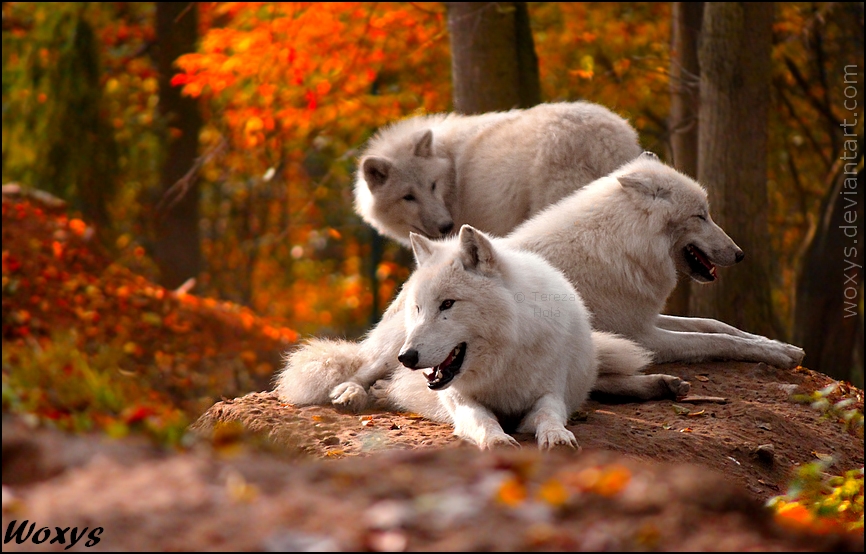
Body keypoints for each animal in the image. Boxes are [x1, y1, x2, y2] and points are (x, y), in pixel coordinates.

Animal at [278, 153, 804, 416]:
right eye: (702, 216)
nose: (740, 254)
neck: (621, 243)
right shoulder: (645, 332)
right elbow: (715, 340)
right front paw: (776, 352)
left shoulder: (648, 322)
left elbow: (720, 326)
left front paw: (779, 345)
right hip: (398, 349)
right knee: (370, 374)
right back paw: (351, 393)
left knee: (597, 383)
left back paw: (660, 384)